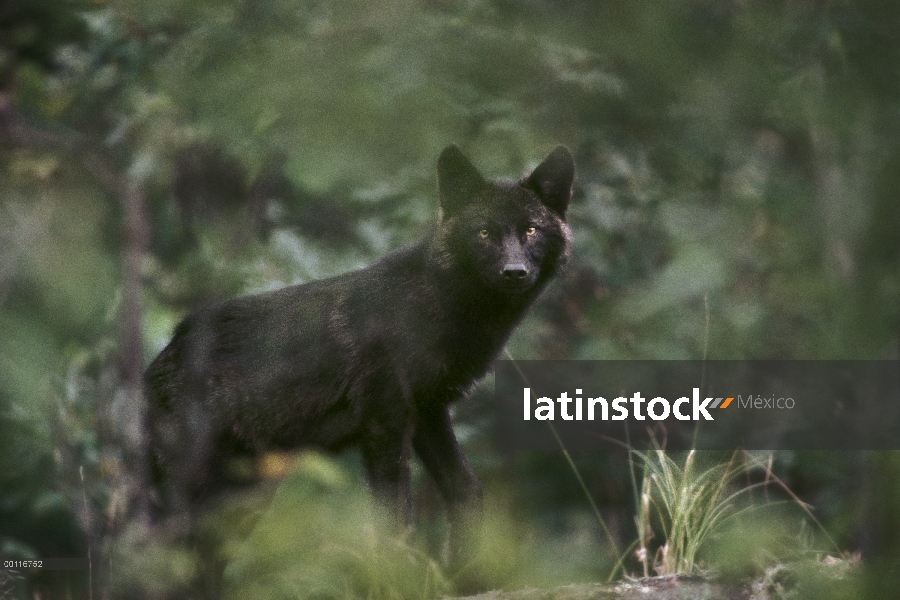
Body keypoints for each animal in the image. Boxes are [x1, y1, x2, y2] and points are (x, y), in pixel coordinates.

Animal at [144, 143, 572, 556]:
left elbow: (467, 494)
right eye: (483, 233)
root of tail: (166, 352)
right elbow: (396, 522)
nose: (514, 272)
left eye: (530, 230)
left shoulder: (428, 412)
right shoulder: (385, 419)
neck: (439, 308)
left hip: (242, 502)